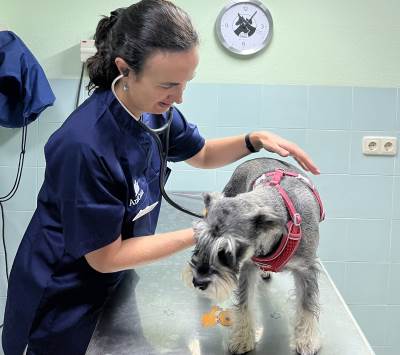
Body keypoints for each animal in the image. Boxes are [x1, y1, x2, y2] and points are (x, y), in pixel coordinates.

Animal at [183, 158, 324, 355]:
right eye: (198, 240)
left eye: (227, 251)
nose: (198, 281)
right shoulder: (247, 267)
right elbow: (244, 304)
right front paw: (242, 338)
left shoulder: (306, 270)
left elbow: (307, 305)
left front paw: (306, 340)